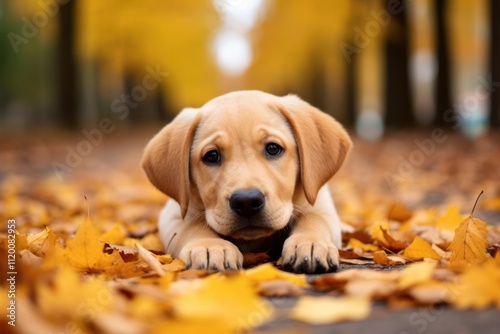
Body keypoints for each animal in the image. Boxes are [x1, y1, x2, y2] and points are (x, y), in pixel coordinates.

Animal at [141, 90, 352, 272]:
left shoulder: (320, 204)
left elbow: (314, 219)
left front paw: (310, 243)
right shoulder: (173, 213)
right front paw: (209, 247)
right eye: (212, 156)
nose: (247, 201)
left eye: (273, 148)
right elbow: (193, 225)